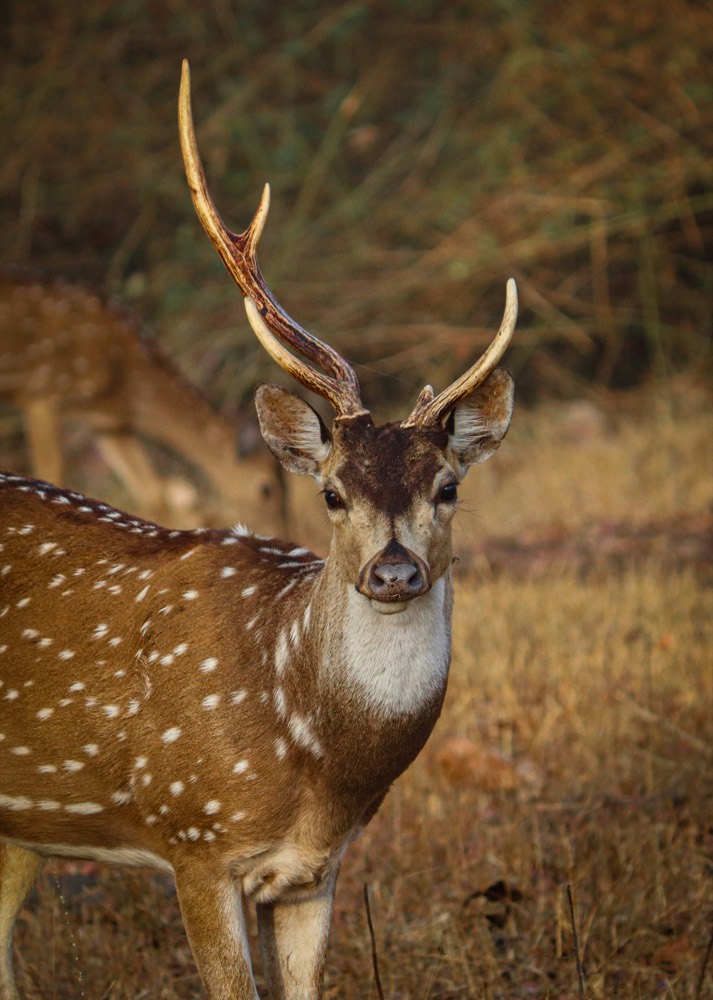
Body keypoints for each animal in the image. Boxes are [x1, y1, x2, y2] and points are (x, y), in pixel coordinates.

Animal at [0, 267, 286, 536]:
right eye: (265, 488)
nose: (279, 533)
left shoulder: (108, 424)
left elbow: (152, 493)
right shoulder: (42, 395)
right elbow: (49, 473)